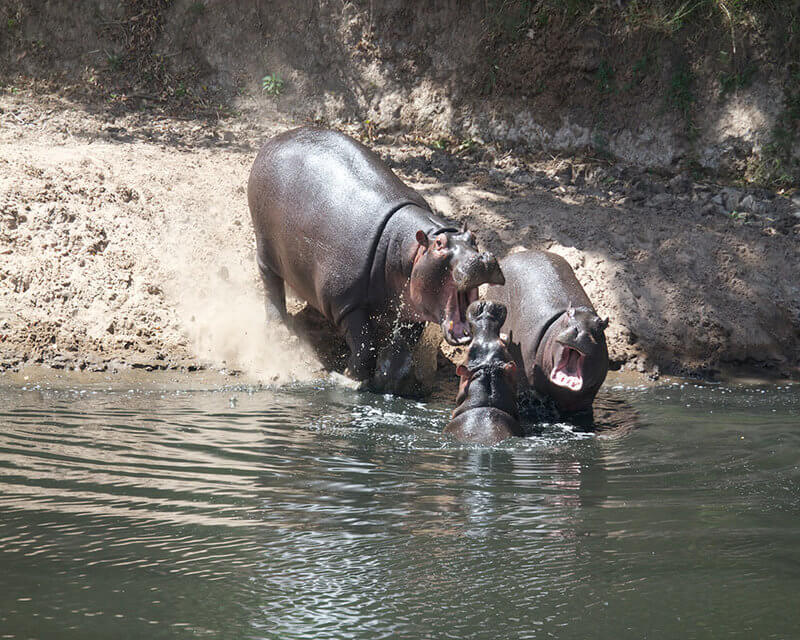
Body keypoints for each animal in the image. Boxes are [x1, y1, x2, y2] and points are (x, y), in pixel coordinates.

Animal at [247, 126, 504, 396]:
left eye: (473, 238)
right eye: (440, 245)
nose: (481, 258)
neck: (407, 247)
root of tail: (275, 140)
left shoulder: (413, 310)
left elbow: (401, 349)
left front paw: (391, 383)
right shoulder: (347, 304)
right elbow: (365, 348)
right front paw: (350, 380)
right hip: (265, 250)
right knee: (271, 287)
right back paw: (279, 330)